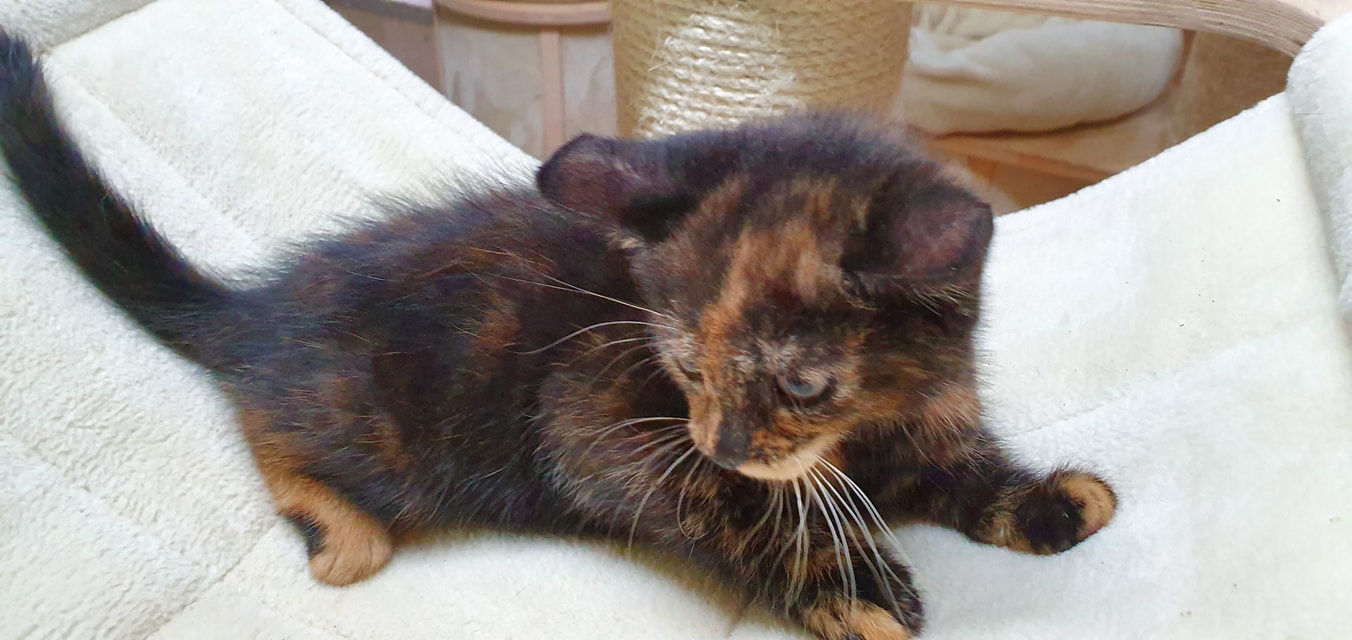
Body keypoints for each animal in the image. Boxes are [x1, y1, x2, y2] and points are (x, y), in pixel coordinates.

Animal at [0, 31, 1115, 640]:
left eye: (801, 384)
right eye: (683, 368)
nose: (723, 440)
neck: (865, 431)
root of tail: (261, 305)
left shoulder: (929, 416)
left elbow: (964, 470)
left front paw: (1046, 500)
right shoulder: (594, 422)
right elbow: (731, 507)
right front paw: (844, 582)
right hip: (376, 423)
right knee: (265, 425)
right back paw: (341, 533)